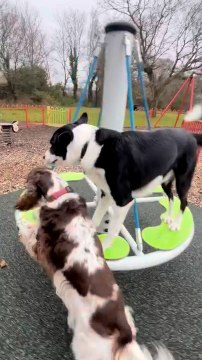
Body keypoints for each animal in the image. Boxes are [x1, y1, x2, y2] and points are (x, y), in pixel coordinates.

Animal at [44, 108, 202, 252]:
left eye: (52, 144)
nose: (44, 157)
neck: (88, 145)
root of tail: (190, 135)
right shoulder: (106, 194)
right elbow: (97, 216)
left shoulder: (124, 201)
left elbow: (113, 229)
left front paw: (104, 247)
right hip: (165, 180)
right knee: (171, 197)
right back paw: (169, 218)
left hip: (183, 180)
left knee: (183, 201)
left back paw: (175, 224)